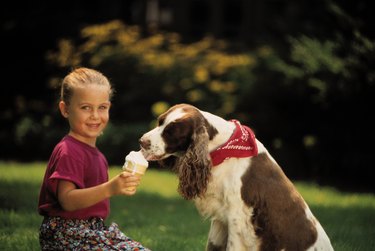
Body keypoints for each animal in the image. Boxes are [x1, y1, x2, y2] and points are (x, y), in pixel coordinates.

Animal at [140, 103, 334, 251]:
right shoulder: (220, 218)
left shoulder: (238, 218)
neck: (222, 148)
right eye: (160, 122)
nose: (142, 141)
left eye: (171, 132)